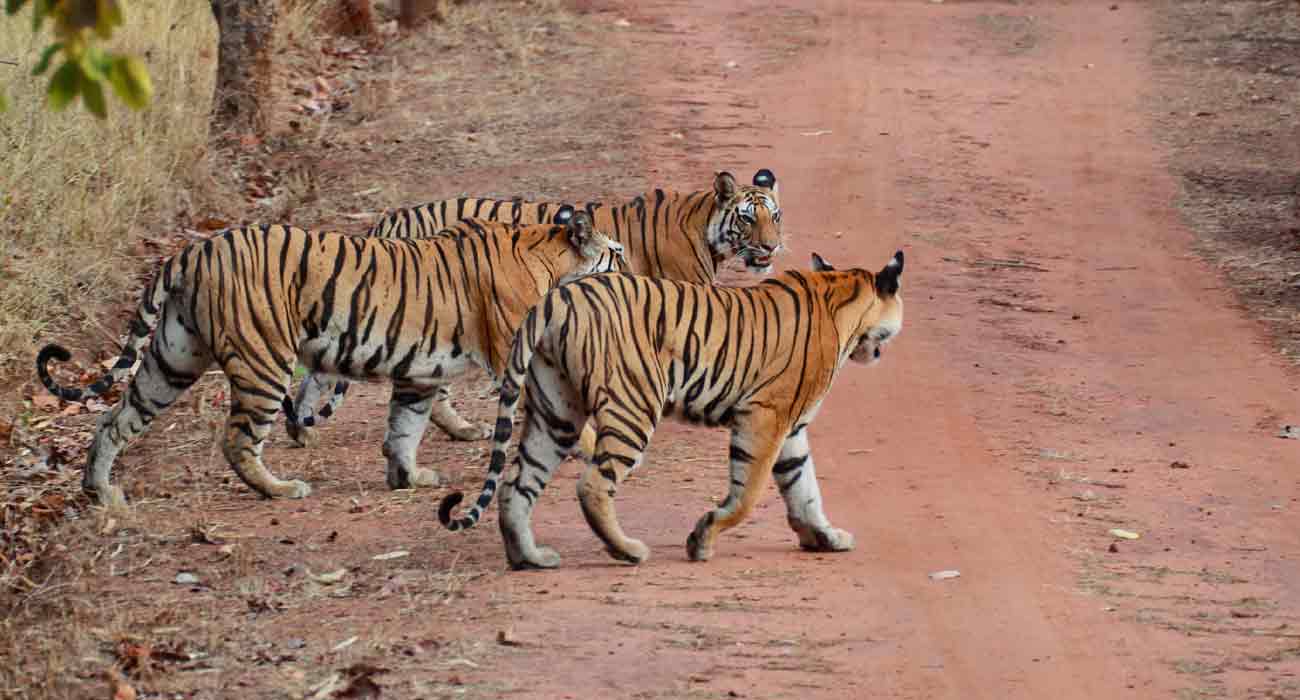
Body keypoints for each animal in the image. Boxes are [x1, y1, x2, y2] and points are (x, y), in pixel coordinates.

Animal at [35, 209, 624, 504]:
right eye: (615, 254)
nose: (631, 271)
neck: (548, 255)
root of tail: (194, 248)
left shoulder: (420, 374)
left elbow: (404, 428)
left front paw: (409, 479)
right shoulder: (513, 360)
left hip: (173, 358)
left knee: (116, 417)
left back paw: (99, 490)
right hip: (264, 361)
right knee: (238, 440)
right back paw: (280, 489)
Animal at [284, 167, 780, 447]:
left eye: (775, 216)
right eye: (748, 219)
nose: (772, 247)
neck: (703, 226)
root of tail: (390, 218)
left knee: (320, 372)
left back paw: (301, 431)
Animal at [436, 251, 904, 567]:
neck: (841, 295)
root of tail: (556, 298)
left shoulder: (791, 428)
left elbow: (804, 487)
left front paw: (825, 536)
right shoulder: (766, 416)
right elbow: (748, 494)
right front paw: (702, 540)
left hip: (556, 412)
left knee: (517, 485)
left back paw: (529, 557)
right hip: (633, 405)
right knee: (592, 484)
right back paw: (627, 550)